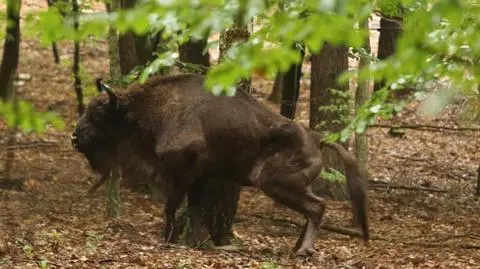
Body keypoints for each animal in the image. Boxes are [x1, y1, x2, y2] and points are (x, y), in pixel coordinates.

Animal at [71, 74, 370, 255]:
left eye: (99, 112)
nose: (75, 137)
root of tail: (318, 138)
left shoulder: (182, 172)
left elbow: (172, 206)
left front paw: (168, 239)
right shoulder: (199, 176)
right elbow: (194, 208)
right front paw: (197, 241)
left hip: (274, 181)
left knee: (317, 206)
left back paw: (303, 251)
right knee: (312, 209)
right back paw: (297, 247)